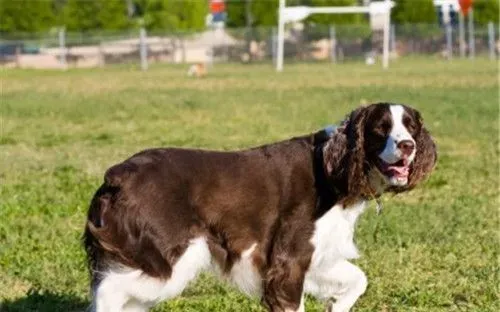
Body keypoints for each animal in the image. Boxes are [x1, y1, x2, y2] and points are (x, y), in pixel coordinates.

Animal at [84, 103, 436, 312]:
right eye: (381, 128)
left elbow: (358, 279)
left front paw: (336, 306)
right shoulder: (287, 261)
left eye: (411, 127)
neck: (332, 170)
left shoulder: (316, 256)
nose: (408, 146)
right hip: (169, 259)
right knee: (108, 290)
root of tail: (119, 174)